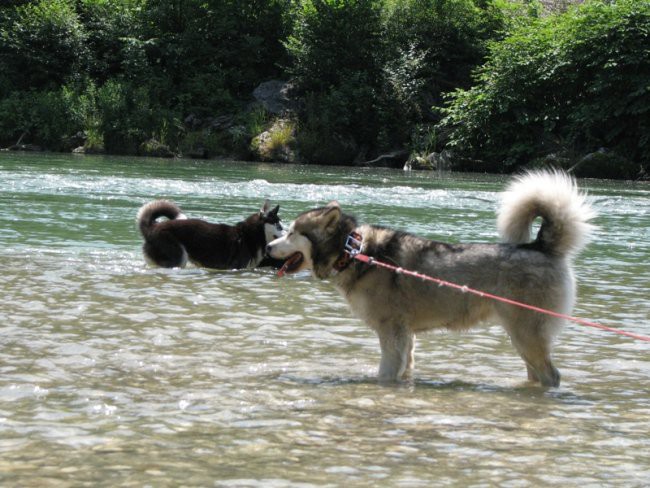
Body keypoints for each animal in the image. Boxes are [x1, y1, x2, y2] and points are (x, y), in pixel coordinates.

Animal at [266, 170, 596, 386]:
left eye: (292, 232)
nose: (268, 247)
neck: (355, 252)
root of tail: (540, 246)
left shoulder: (392, 332)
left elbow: (387, 372)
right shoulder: (407, 335)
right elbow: (405, 369)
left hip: (526, 333)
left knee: (551, 375)